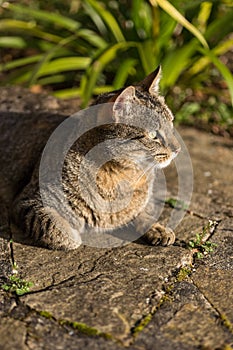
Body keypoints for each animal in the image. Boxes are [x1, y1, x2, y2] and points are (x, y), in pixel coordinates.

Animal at [0, 66, 180, 249]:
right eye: (153, 135)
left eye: (171, 123)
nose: (178, 149)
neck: (119, 176)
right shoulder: (28, 201)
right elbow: (55, 228)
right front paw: (73, 234)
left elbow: (139, 213)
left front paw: (157, 228)